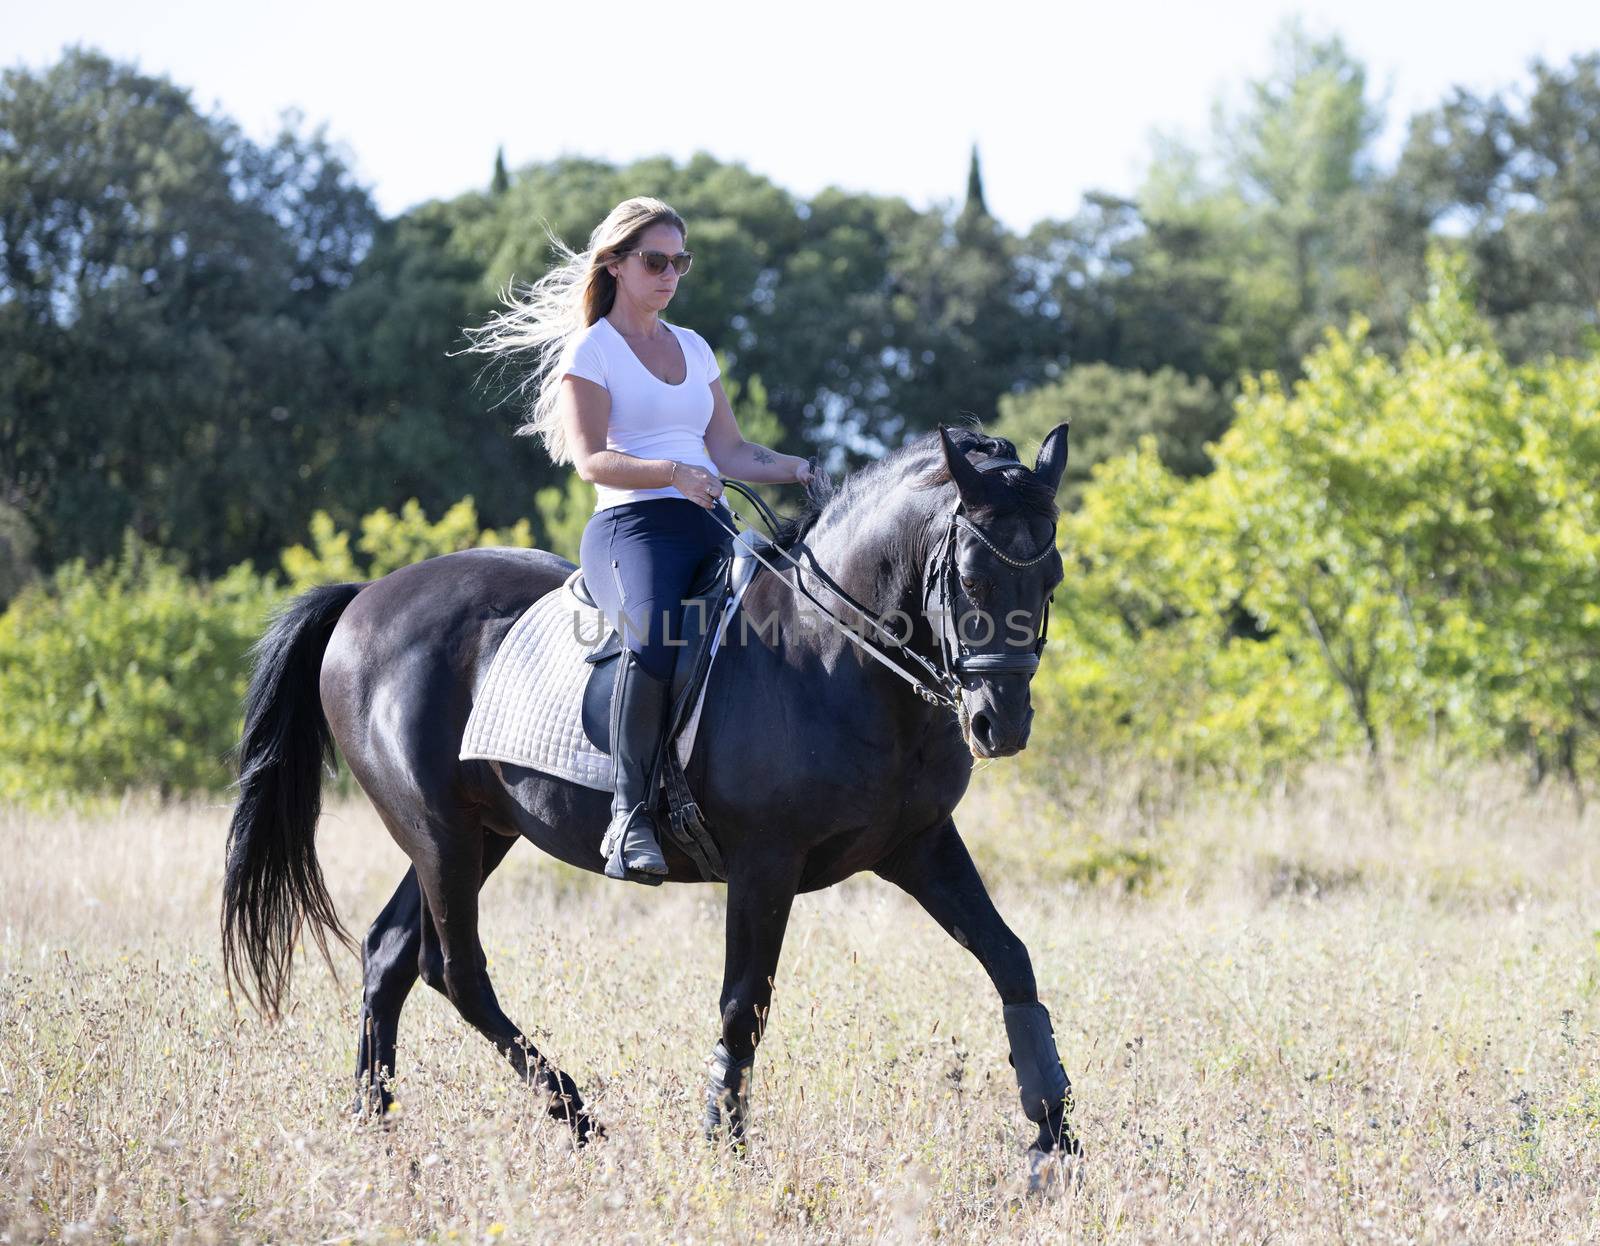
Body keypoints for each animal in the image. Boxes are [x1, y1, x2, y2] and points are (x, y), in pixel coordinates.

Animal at [222, 425, 1075, 1170]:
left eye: (1052, 578)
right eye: (971, 578)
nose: (1000, 724)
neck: (835, 654)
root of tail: (367, 598)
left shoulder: (918, 846)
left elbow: (1011, 959)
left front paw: (1053, 1140)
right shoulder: (765, 865)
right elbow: (743, 1004)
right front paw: (724, 1150)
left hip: (480, 831)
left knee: (390, 955)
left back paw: (375, 1128)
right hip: (439, 833)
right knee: (455, 970)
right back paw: (578, 1117)